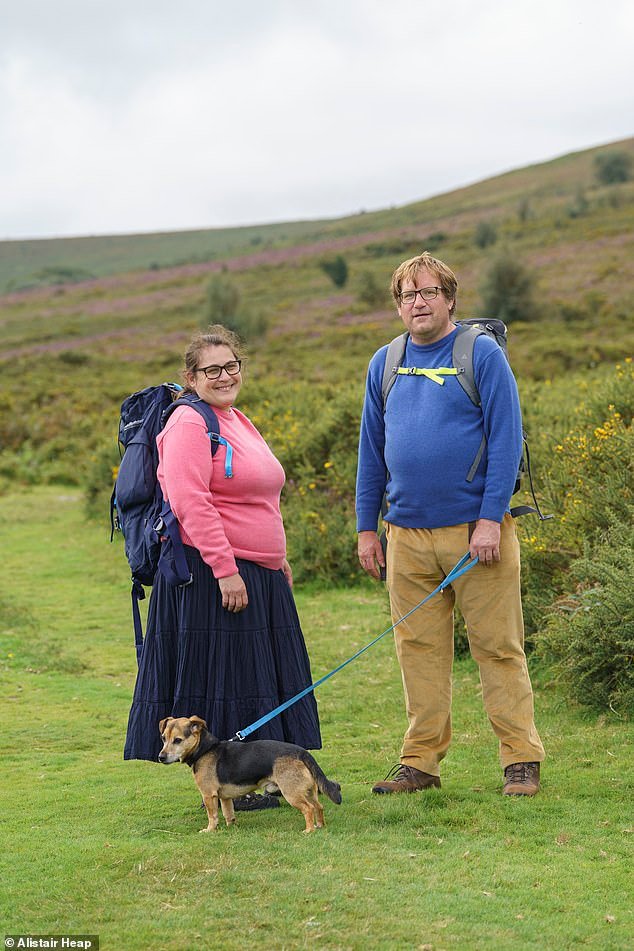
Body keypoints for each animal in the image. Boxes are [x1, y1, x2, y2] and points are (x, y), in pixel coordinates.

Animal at [157, 716, 340, 836]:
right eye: (163, 738)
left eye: (178, 740)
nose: (161, 757)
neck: (205, 749)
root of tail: (301, 752)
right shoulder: (225, 798)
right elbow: (228, 814)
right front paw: (231, 827)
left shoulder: (209, 795)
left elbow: (212, 815)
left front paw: (209, 830)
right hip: (309, 791)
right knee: (318, 807)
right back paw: (320, 826)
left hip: (292, 793)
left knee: (308, 809)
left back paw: (309, 830)